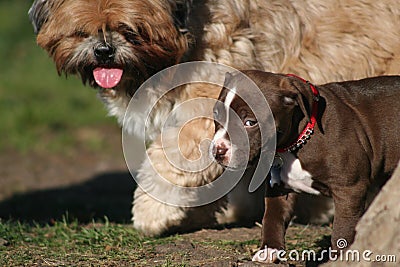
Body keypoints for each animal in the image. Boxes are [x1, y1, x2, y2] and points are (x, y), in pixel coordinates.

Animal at [29, 0, 400, 237]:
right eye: (81, 30)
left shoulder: (207, 103)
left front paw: (151, 212)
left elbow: (172, 161)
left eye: (130, 29)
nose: (104, 50)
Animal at [214, 70, 400, 264]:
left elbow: (343, 229)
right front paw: (269, 249)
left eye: (250, 122)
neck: (293, 144)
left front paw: (340, 258)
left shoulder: (350, 189)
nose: (217, 150)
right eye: (216, 115)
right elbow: (272, 217)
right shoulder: (279, 188)